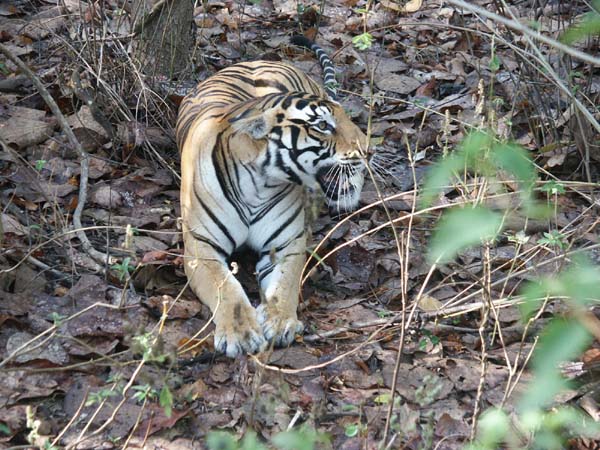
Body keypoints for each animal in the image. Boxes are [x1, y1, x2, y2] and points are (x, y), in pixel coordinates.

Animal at [176, 36, 368, 358]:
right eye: (322, 126)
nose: (368, 148)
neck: (258, 184)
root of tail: (261, 60)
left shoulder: (288, 242)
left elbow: (286, 284)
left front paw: (279, 322)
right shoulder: (200, 246)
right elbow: (225, 286)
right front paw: (241, 334)